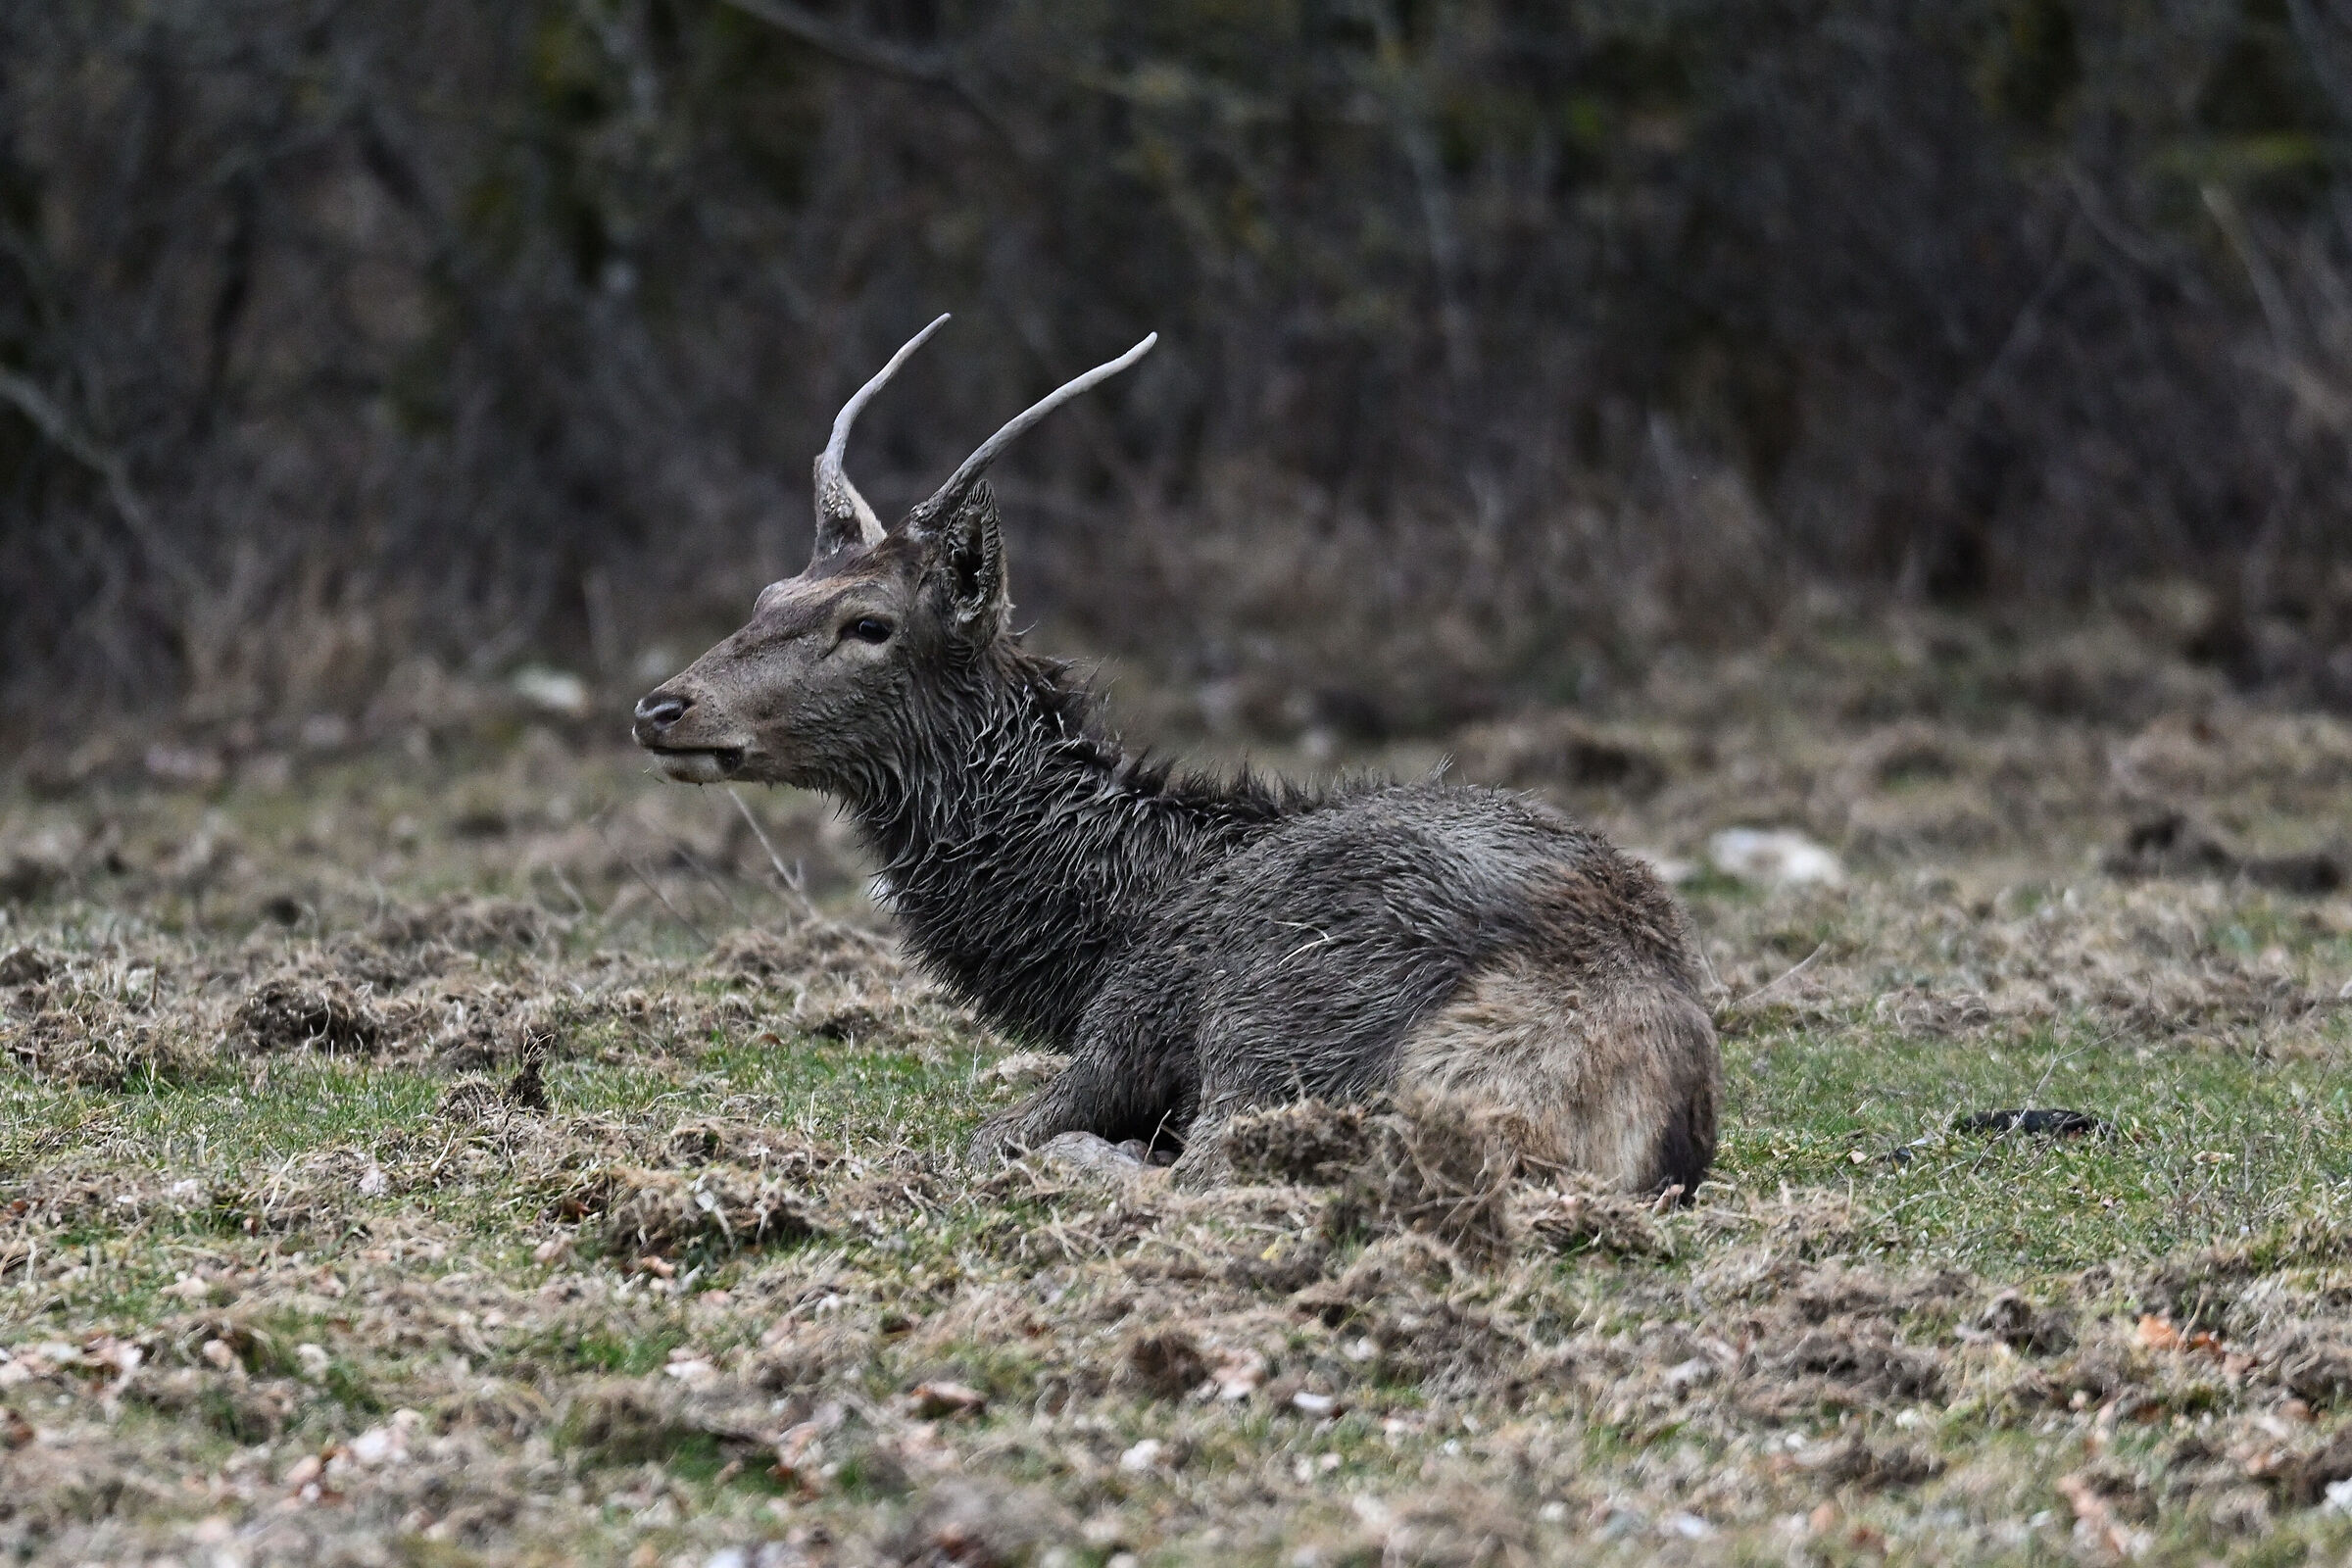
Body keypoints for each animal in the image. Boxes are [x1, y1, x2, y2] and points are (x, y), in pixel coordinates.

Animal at [633, 317, 1719, 1193]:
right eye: (770, 592)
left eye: (868, 623)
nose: (661, 706)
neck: (1094, 941)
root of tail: (1629, 1068)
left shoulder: (1128, 1024)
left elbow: (992, 1133)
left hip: (1286, 1014)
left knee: (1200, 1167)